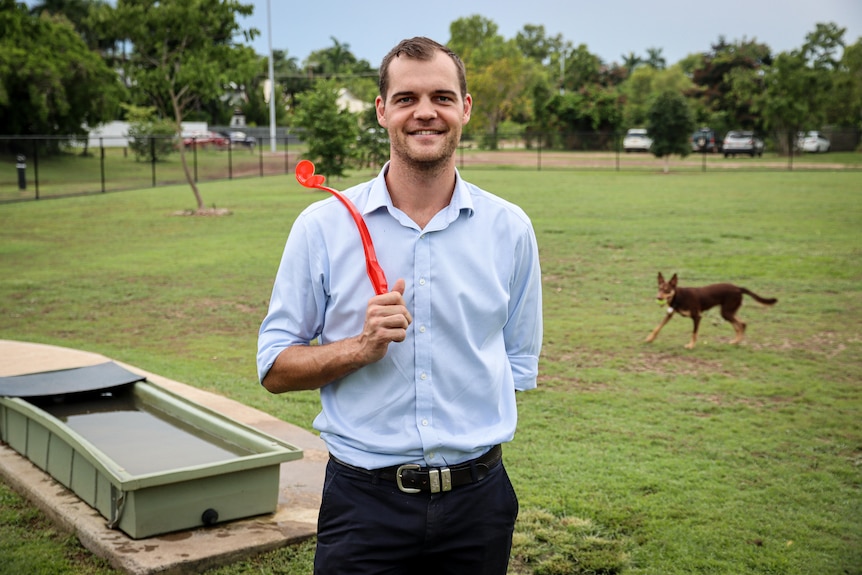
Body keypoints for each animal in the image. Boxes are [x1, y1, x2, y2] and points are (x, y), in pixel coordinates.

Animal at [644, 272, 780, 348]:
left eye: (667, 290)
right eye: (659, 288)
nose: (658, 297)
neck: (678, 296)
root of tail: (738, 288)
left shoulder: (697, 317)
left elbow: (694, 333)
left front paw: (691, 346)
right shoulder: (669, 315)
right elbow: (657, 328)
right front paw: (649, 339)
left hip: (726, 312)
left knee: (740, 324)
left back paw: (737, 341)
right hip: (728, 312)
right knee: (741, 324)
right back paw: (736, 341)